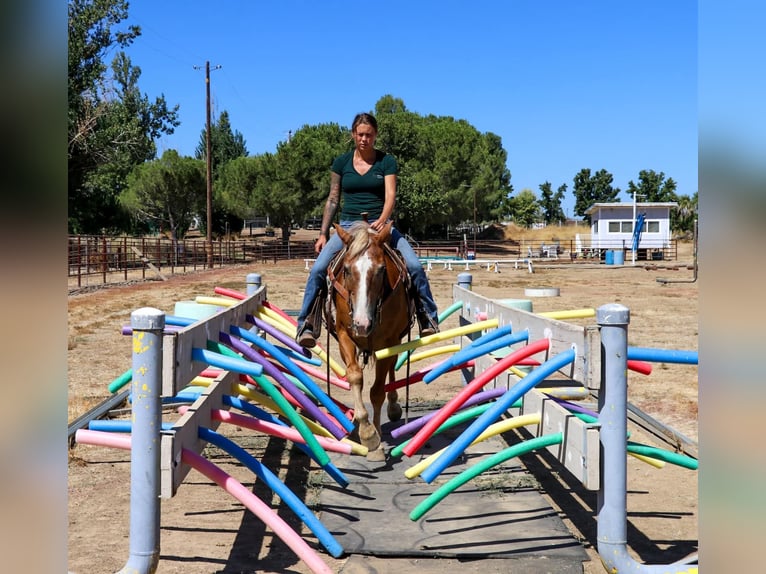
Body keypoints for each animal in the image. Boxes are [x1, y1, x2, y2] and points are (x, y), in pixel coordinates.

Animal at [327, 220, 414, 460]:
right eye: (347, 270)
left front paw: (373, 438)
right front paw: (364, 428)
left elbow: (376, 391)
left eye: (381, 270)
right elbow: (355, 376)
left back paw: (393, 408)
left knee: (391, 370)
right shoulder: (345, 334)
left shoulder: (388, 341)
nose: (362, 323)